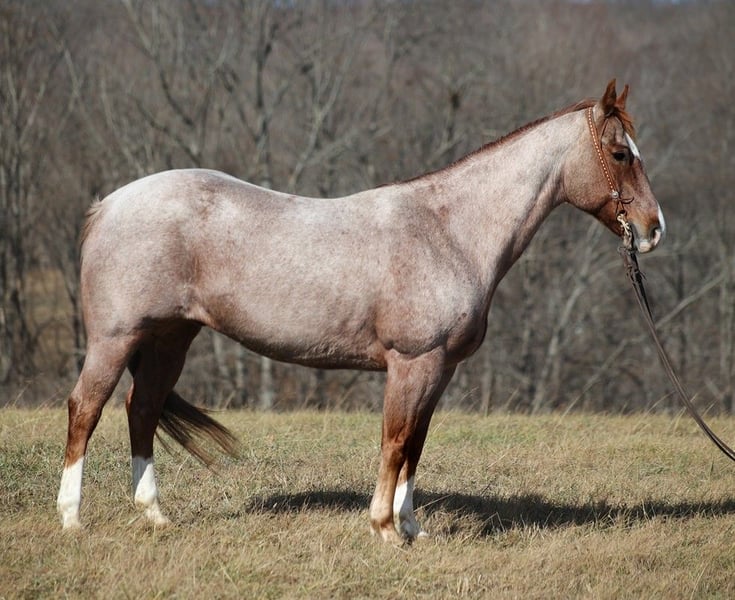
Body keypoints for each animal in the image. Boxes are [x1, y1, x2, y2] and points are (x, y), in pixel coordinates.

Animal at [57, 80, 664, 543]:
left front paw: (412, 528)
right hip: (115, 338)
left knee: (142, 408)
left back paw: (154, 514)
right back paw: (71, 519)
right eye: (619, 154)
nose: (654, 229)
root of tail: (107, 205)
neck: (448, 230)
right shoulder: (412, 362)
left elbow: (417, 443)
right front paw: (384, 529)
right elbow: (395, 440)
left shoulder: (439, 370)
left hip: (170, 339)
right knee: (86, 409)